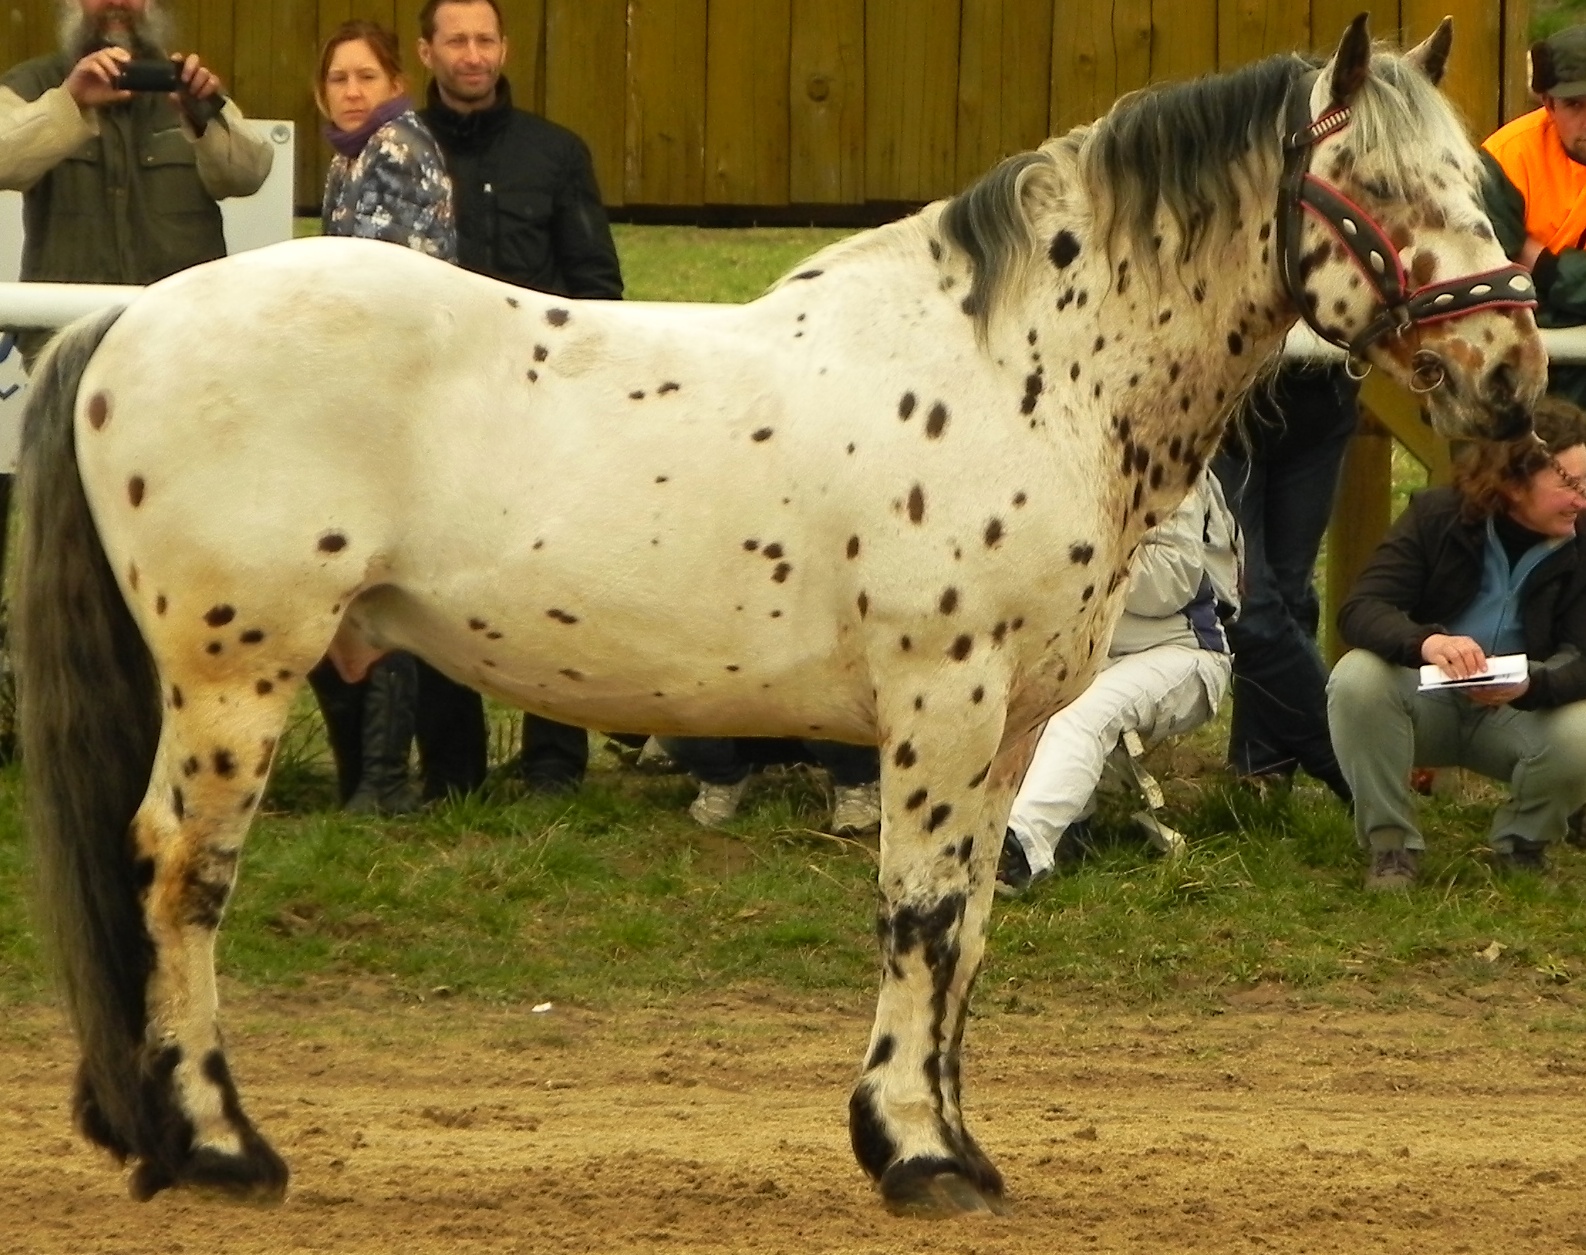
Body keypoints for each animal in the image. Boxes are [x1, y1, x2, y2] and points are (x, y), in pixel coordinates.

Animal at [12, 12, 1541, 1218]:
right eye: (1379, 186)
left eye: (1474, 183)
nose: (1512, 374)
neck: (1024, 368)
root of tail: (129, 319)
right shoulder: (940, 703)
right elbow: (918, 914)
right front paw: (913, 1154)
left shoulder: (1012, 732)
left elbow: (970, 927)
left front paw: (955, 1143)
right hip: (238, 673)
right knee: (182, 872)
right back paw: (220, 1147)